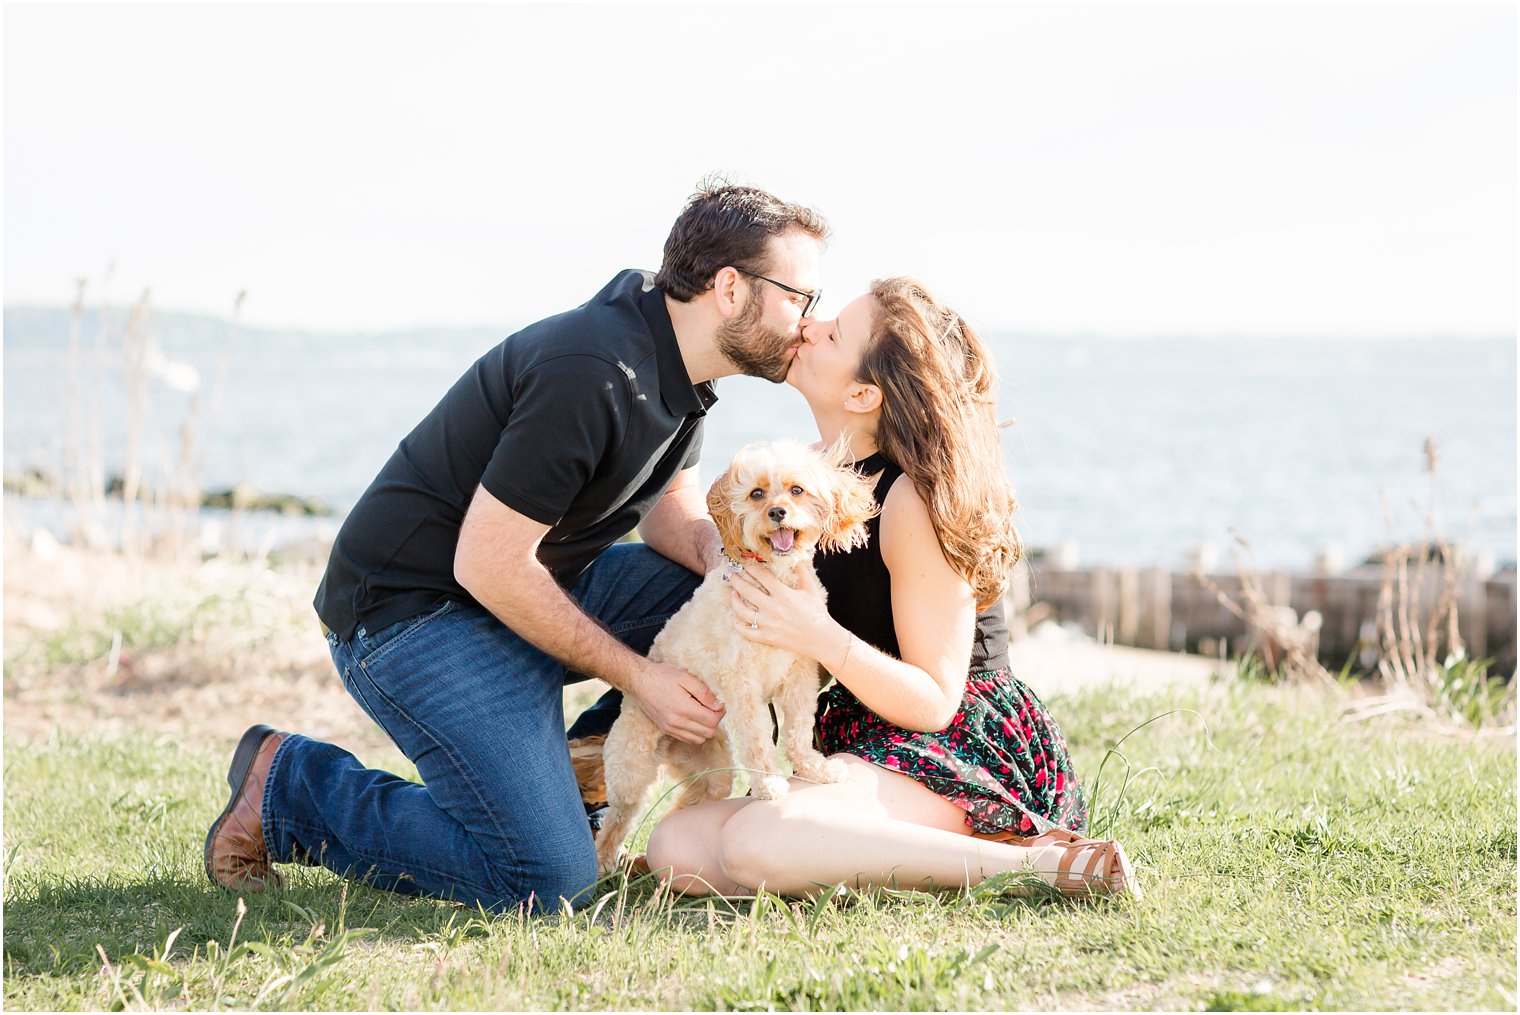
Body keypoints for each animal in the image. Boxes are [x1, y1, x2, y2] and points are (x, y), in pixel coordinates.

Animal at [592, 437, 881, 875]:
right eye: (757, 494)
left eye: (797, 490)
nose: (777, 512)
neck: (774, 580)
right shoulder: (740, 683)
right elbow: (760, 739)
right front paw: (769, 784)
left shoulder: (800, 675)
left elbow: (798, 732)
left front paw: (815, 769)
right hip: (632, 769)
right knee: (617, 818)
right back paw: (606, 863)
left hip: (709, 769)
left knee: (688, 802)